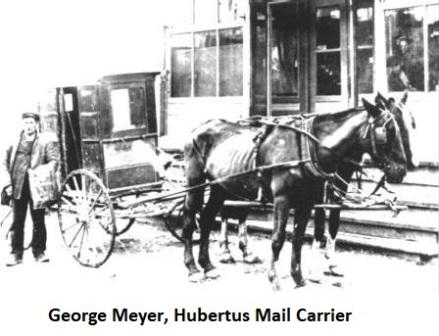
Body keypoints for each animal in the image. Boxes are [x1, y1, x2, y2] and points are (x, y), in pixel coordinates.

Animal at [182, 96, 410, 288]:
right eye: (388, 131)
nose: (401, 170)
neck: (309, 148)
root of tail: (199, 128)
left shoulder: (308, 202)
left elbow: (300, 238)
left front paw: (299, 277)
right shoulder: (283, 199)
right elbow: (279, 238)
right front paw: (275, 277)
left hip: (220, 186)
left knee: (206, 218)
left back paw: (208, 266)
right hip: (196, 182)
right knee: (190, 219)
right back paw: (193, 268)